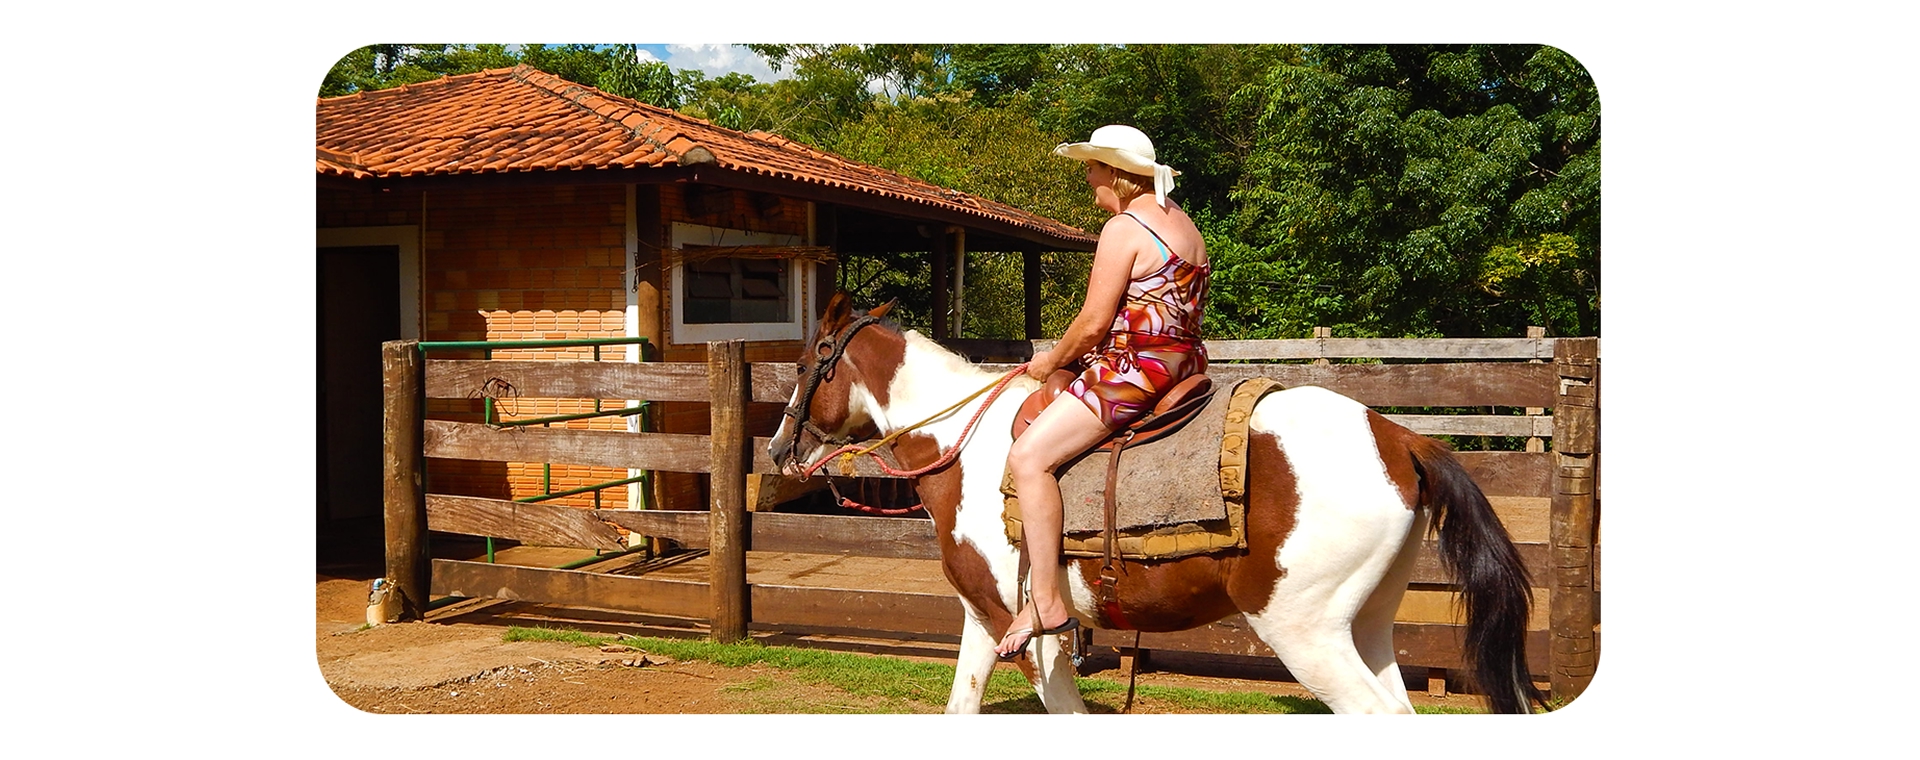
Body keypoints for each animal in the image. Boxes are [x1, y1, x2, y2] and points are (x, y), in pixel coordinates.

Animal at [768, 294, 1544, 714]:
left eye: (807, 364)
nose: (778, 449)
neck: (970, 446)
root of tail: (1399, 438)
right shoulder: (984, 619)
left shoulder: (1033, 635)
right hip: (1369, 625)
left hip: (1307, 632)